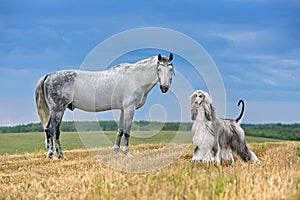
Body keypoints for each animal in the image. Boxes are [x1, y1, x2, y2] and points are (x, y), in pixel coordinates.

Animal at [35, 53, 175, 159]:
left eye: (171, 69)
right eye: (159, 69)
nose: (164, 88)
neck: (135, 77)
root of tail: (49, 76)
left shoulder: (123, 109)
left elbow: (120, 130)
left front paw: (117, 152)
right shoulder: (130, 108)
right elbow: (127, 131)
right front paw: (127, 153)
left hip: (60, 110)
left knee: (56, 131)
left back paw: (61, 155)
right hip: (57, 110)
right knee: (50, 129)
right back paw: (52, 155)